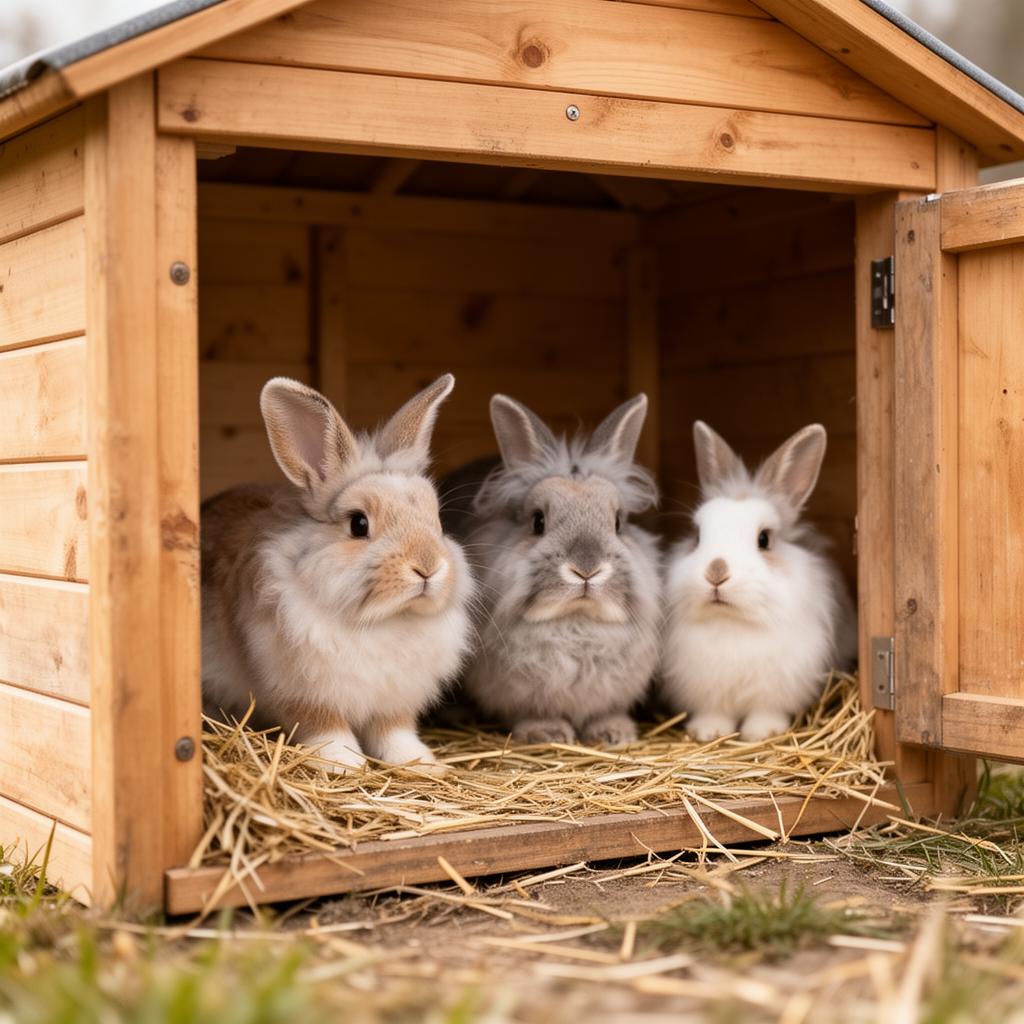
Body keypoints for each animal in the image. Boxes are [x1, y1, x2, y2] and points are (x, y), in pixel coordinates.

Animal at [201, 374, 473, 774]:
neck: (384, 621)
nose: (427, 566)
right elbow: (326, 728)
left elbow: (394, 732)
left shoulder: (395, 700)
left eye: (437, 520)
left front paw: (419, 762)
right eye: (358, 524)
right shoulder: (304, 692)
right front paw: (344, 764)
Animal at [456, 393, 662, 747]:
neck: (577, 625)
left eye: (618, 523)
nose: (586, 569)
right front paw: (547, 733)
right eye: (538, 522)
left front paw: (614, 733)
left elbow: (605, 713)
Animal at [661, 421, 858, 744]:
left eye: (764, 539)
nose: (716, 571)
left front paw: (762, 732)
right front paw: (709, 731)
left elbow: (765, 712)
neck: (731, 621)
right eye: (697, 537)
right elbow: (714, 712)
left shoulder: (777, 686)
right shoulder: (706, 690)